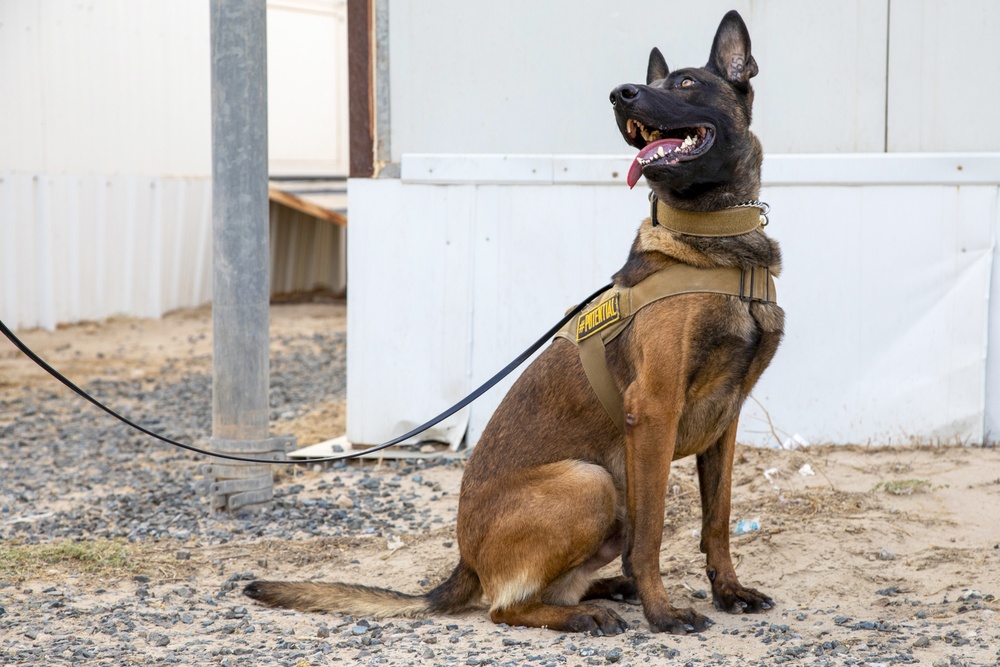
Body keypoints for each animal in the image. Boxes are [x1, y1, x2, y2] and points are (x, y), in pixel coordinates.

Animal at [244, 10, 780, 636]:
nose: (620, 94)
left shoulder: (726, 420)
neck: (717, 246)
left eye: (688, 83)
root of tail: (464, 561)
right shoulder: (653, 411)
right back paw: (586, 612)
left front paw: (729, 590)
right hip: (592, 480)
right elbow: (651, 536)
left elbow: (717, 520)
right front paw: (663, 611)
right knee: (506, 607)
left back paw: (601, 591)